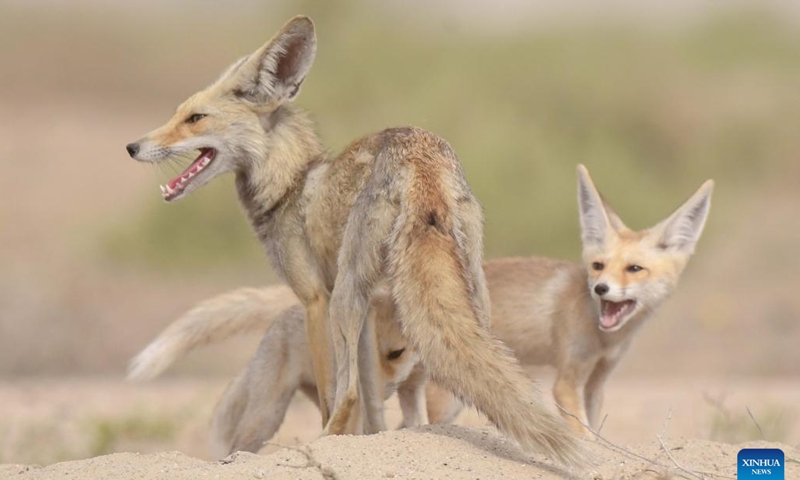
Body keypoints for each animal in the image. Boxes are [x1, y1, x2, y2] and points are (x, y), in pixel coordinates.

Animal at [124, 15, 582, 463]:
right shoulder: (371, 315)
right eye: (178, 113)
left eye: (195, 118)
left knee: (343, 395)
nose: (132, 147)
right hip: (468, 291)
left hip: (346, 295)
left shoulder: (316, 298)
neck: (290, 185)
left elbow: (337, 392)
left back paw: (320, 444)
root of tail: (421, 151)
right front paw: (372, 439)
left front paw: (337, 440)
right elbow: (372, 398)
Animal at [130, 165, 713, 442]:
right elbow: (582, 428)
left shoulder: (598, 381)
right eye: (598, 267)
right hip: (430, 395)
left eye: (634, 270)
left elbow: (599, 425)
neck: (604, 334)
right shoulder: (567, 380)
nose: (601, 292)